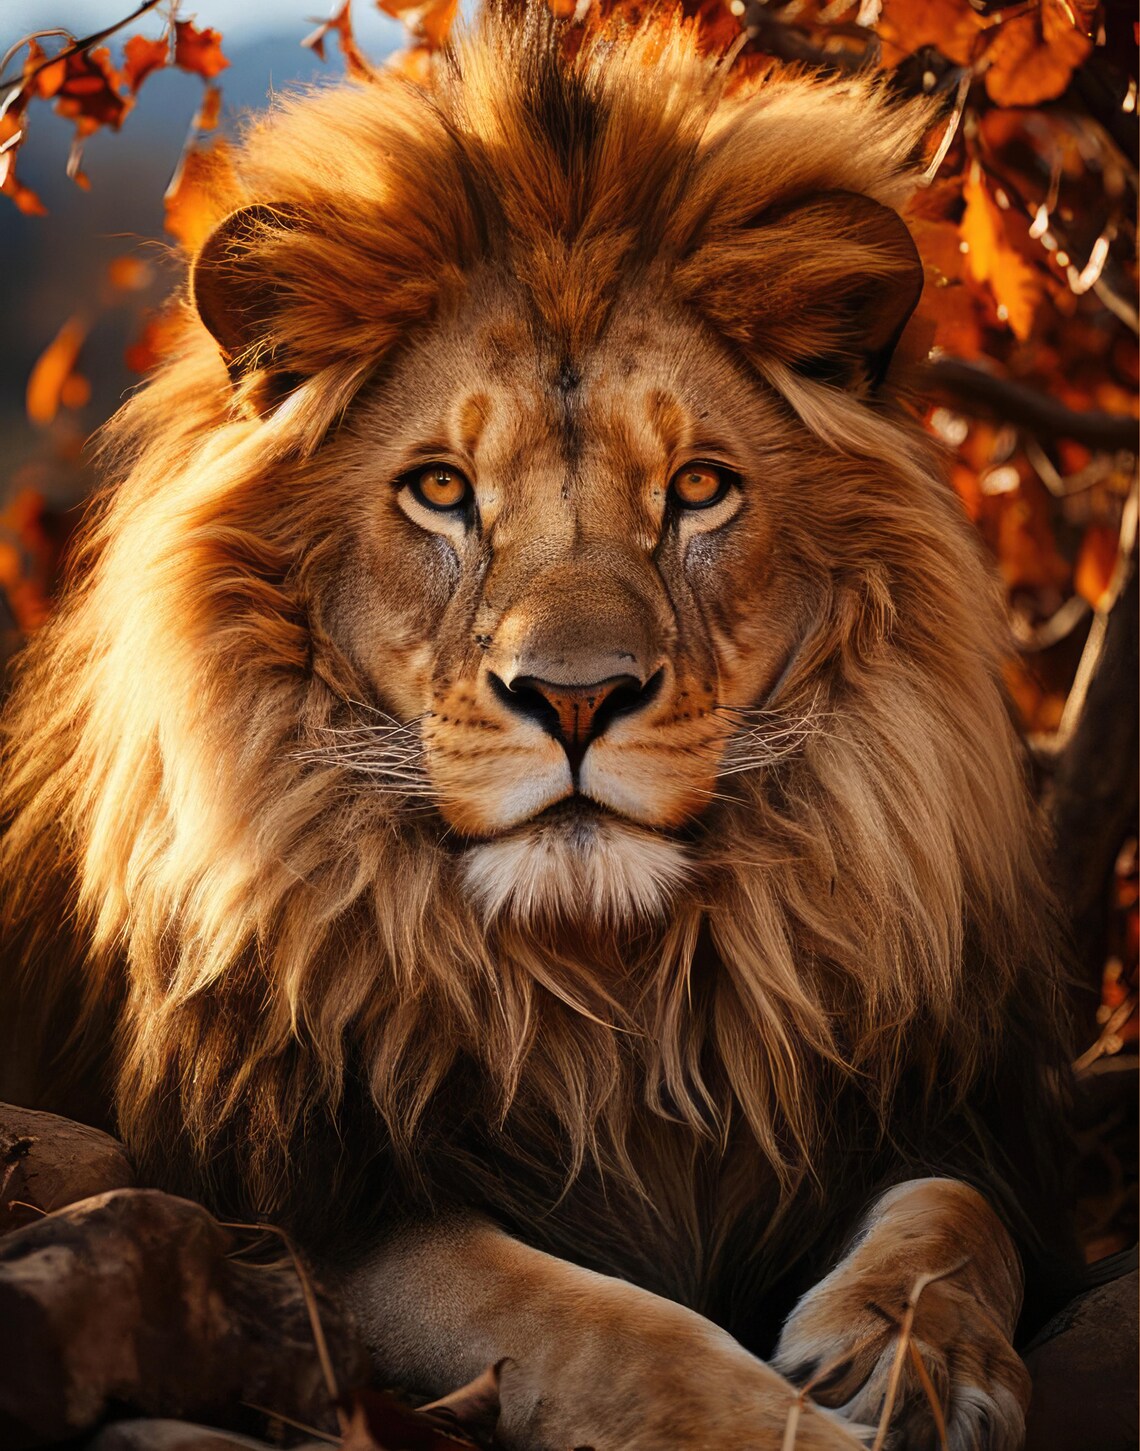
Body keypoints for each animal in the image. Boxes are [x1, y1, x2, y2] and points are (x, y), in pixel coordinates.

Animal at [0, 5, 1079, 1448]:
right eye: (441, 490)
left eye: (698, 487)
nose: (575, 697)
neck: (611, 993)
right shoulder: (299, 1207)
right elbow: (596, 1324)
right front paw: (790, 1421)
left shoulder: (939, 1112)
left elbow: (953, 1218)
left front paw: (915, 1358)